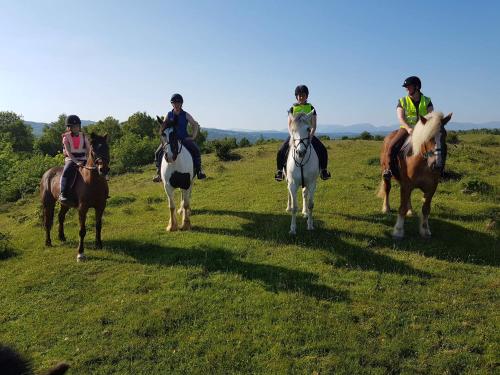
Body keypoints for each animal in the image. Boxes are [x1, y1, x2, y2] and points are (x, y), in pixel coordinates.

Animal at [39, 133, 109, 262]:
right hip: (48, 203)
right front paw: (80, 253)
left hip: (65, 204)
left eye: (107, 148)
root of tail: (47, 173)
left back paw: (61, 236)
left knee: (60, 217)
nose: (103, 169)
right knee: (47, 222)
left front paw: (98, 244)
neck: (93, 182)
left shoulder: (101, 206)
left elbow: (98, 226)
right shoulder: (82, 208)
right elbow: (82, 231)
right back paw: (48, 242)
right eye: (93, 150)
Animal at [378, 112, 454, 241]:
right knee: (387, 189)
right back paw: (386, 208)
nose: (437, 164)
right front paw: (398, 231)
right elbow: (402, 208)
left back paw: (410, 211)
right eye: (428, 136)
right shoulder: (406, 185)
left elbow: (425, 209)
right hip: (386, 174)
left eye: (444, 135)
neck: (423, 163)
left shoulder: (431, 188)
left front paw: (425, 230)